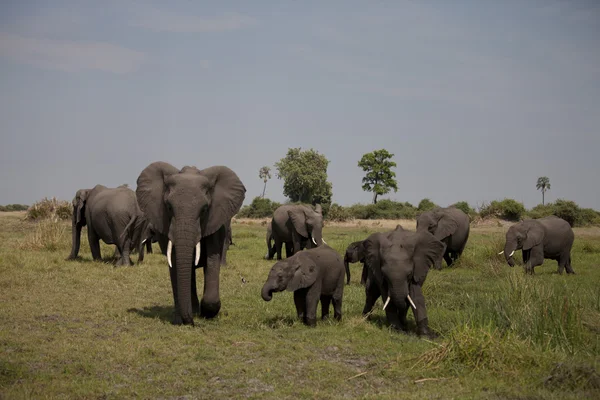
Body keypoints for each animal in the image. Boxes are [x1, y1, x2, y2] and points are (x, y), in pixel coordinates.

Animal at [137, 162, 246, 324]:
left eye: (204, 209)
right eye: (169, 207)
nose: (191, 322)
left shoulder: (215, 219)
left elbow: (212, 258)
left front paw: (208, 312)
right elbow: (175, 262)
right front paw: (180, 320)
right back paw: (192, 309)